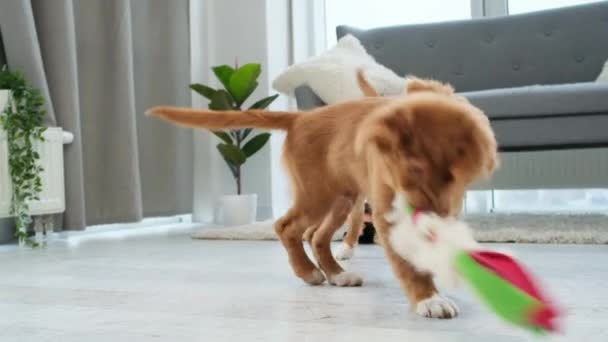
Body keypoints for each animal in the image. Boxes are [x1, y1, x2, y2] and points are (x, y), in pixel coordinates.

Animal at [148, 90, 498, 318]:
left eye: (460, 178)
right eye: (411, 169)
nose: (426, 215)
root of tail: (300, 118)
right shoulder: (388, 214)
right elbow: (407, 262)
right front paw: (428, 298)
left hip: (342, 198)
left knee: (316, 236)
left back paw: (337, 274)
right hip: (317, 196)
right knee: (287, 227)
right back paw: (309, 272)